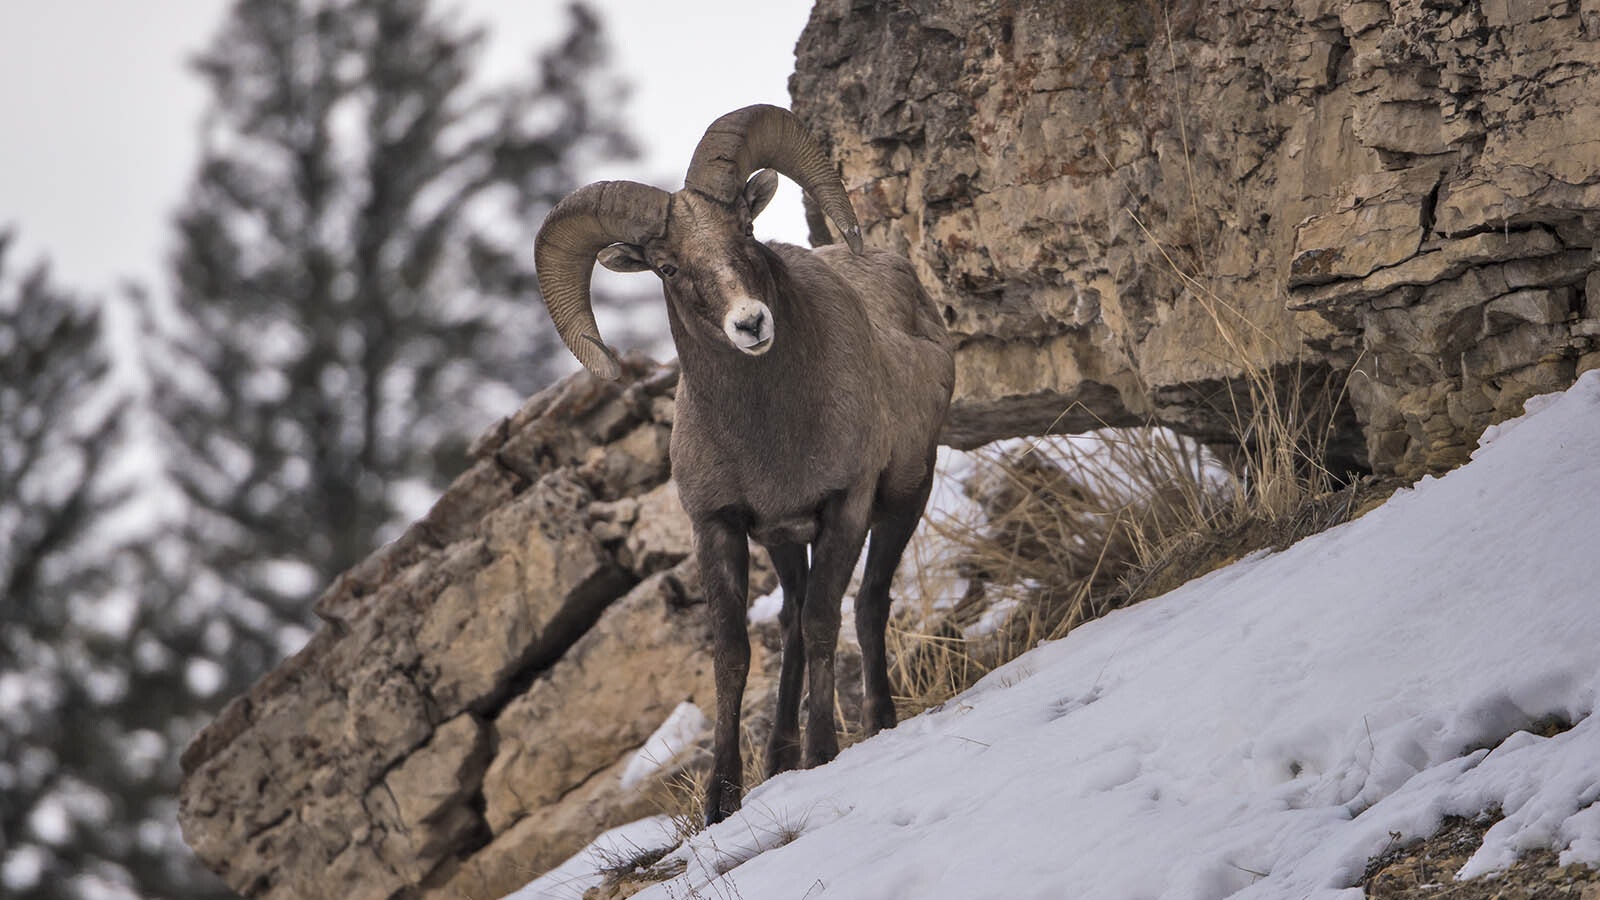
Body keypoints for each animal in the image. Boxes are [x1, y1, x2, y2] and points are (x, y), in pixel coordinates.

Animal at [533, 104, 954, 824]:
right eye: (667, 267)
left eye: (746, 229)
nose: (751, 324)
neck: (768, 434)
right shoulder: (719, 527)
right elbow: (733, 655)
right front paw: (722, 800)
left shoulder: (845, 506)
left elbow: (823, 622)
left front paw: (823, 753)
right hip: (785, 543)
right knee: (789, 623)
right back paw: (780, 756)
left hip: (905, 495)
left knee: (868, 602)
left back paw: (875, 723)